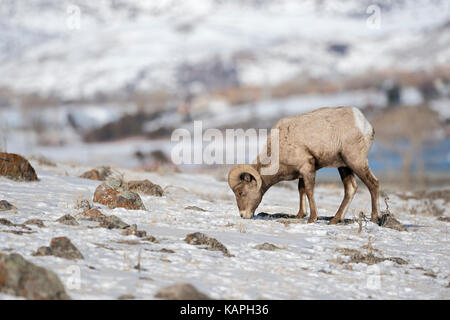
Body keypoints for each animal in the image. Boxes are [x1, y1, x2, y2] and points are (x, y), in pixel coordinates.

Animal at [229, 106, 380, 224]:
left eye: (241, 192)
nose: (243, 215)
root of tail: (364, 124)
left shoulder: (307, 168)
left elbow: (309, 190)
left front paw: (312, 218)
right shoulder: (301, 172)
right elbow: (301, 189)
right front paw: (300, 215)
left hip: (355, 161)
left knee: (373, 184)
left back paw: (374, 218)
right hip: (343, 166)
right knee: (350, 188)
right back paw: (334, 220)